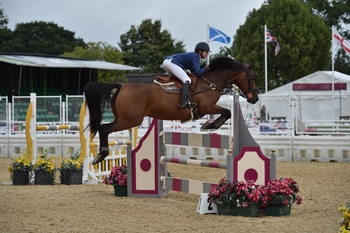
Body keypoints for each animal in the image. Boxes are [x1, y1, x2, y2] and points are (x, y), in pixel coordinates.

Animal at [83, 56, 258, 164]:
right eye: (253, 76)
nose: (255, 98)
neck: (211, 81)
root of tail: (121, 86)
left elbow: (226, 112)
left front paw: (209, 125)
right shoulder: (206, 107)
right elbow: (227, 112)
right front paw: (210, 125)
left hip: (123, 118)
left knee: (104, 128)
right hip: (131, 120)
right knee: (104, 128)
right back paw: (101, 155)